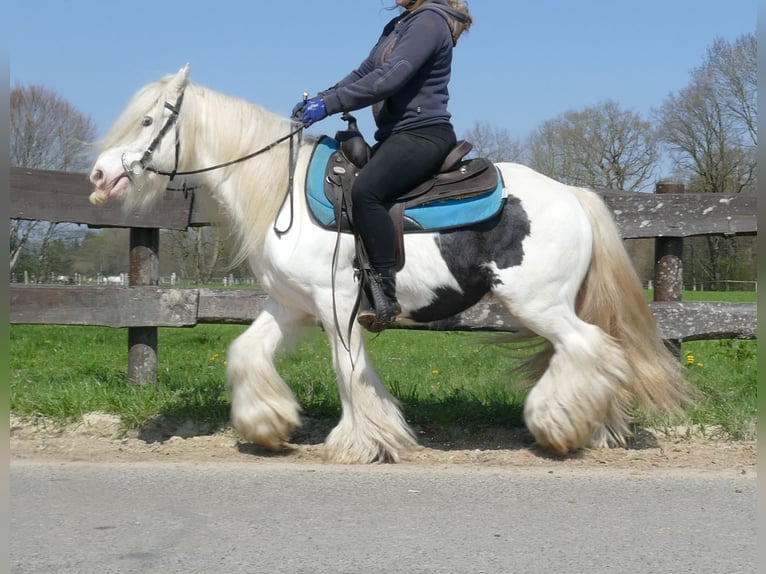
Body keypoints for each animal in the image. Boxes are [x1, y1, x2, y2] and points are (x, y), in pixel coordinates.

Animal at [88, 65, 688, 466]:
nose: (98, 176)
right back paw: (596, 426)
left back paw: (557, 426)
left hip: (536, 303)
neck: (284, 195)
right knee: (598, 353)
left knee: (590, 347)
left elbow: (348, 370)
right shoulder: (290, 306)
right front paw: (268, 425)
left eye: (147, 120)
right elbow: (245, 353)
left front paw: (361, 442)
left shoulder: (335, 305)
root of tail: (574, 196)